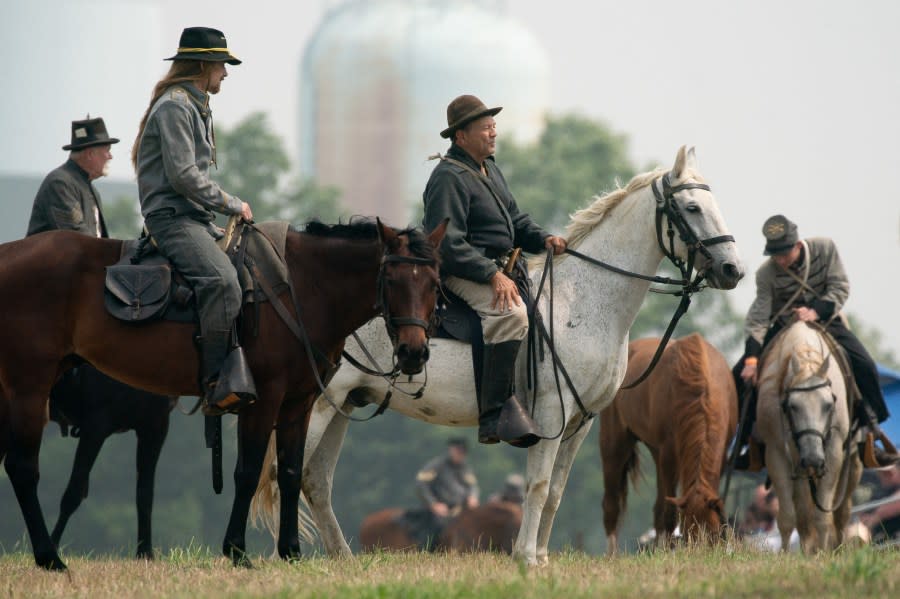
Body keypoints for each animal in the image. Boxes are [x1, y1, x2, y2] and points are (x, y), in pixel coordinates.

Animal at [47, 366, 178, 564]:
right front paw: (51, 549)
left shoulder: (154, 427)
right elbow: (73, 493)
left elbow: (145, 494)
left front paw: (145, 553)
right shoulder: (96, 426)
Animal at [596, 332, 740, 552]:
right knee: (612, 503)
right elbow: (670, 512)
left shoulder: (720, 453)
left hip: (655, 450)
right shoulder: (669, 453)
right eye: (688, 534)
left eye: (714, 535)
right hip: (615, 442)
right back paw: (612, 553)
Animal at [756, 324, 860, 552]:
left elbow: (823, 517)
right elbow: (788, 518)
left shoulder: (833, 454)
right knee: (803, 514)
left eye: (829, 404)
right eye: (793, 406)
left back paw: (836, 548)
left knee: (841, 513)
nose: (813, 458)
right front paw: (787, 554)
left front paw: (823, 553)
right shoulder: (777, 454)